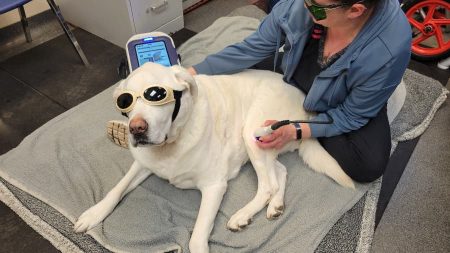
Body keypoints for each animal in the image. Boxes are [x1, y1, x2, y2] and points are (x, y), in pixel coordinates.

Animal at [74, 61, 356, 253]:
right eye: (125, 101)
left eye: (157, 95)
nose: (136, 129)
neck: (173, 141)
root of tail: (305, 104)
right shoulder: (143, 163)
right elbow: (117, 189)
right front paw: (92, 214)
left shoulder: (214, 186)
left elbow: (197, 236)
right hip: (263, 143)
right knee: (280, 173)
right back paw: (275, 206)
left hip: (252, 131)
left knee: (268, 185)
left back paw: (243, 215)